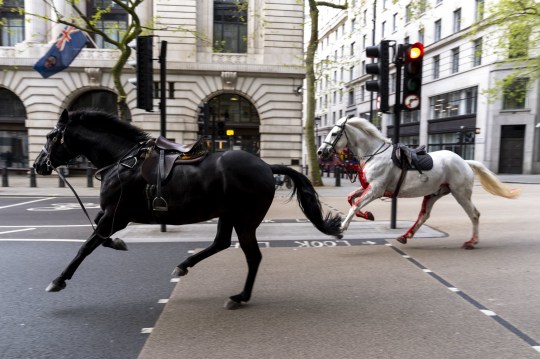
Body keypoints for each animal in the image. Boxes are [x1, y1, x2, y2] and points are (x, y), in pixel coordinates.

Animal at [34, 110, 342, 310]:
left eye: (50, 136)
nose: (38, 165)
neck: (123, 160)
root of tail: (266, 166)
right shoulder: (110, 214)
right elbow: (97, 236)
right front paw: (118, 243)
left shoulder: (117, 214)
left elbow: (87, 245)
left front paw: (58, 280)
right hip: (228, 214)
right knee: (220, 243)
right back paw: (185, 265)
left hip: (245, 219)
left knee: (252, 256)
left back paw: (240, 296)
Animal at [318, 116, 520, 249]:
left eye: (334, 133)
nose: (320, 152)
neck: (374, 154)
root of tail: (464, 161)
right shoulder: (368, 187)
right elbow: (351, 198)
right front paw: (368, 215)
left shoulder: (376, 189)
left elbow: (355, 205)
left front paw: (341, 228)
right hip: (434, 194)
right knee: (424, 215)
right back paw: (405, 236)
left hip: (460, 193)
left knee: (474, 214)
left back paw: (472, 241)